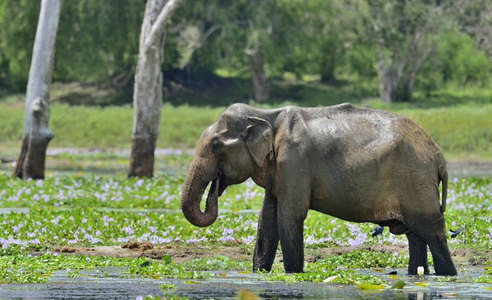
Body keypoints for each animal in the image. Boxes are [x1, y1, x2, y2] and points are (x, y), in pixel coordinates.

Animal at [180, 103, 458, 276]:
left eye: (216, 146)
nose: (216, 185)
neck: (265, 115)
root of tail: (438, 156)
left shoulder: (294, 161)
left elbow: (289, 216)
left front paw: (294, 273)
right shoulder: (278, 169)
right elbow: (267, 218)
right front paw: (259, 273)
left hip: (416, 180)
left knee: (432, 231)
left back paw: (447, 275)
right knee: (415, 235)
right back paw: (417, 275)